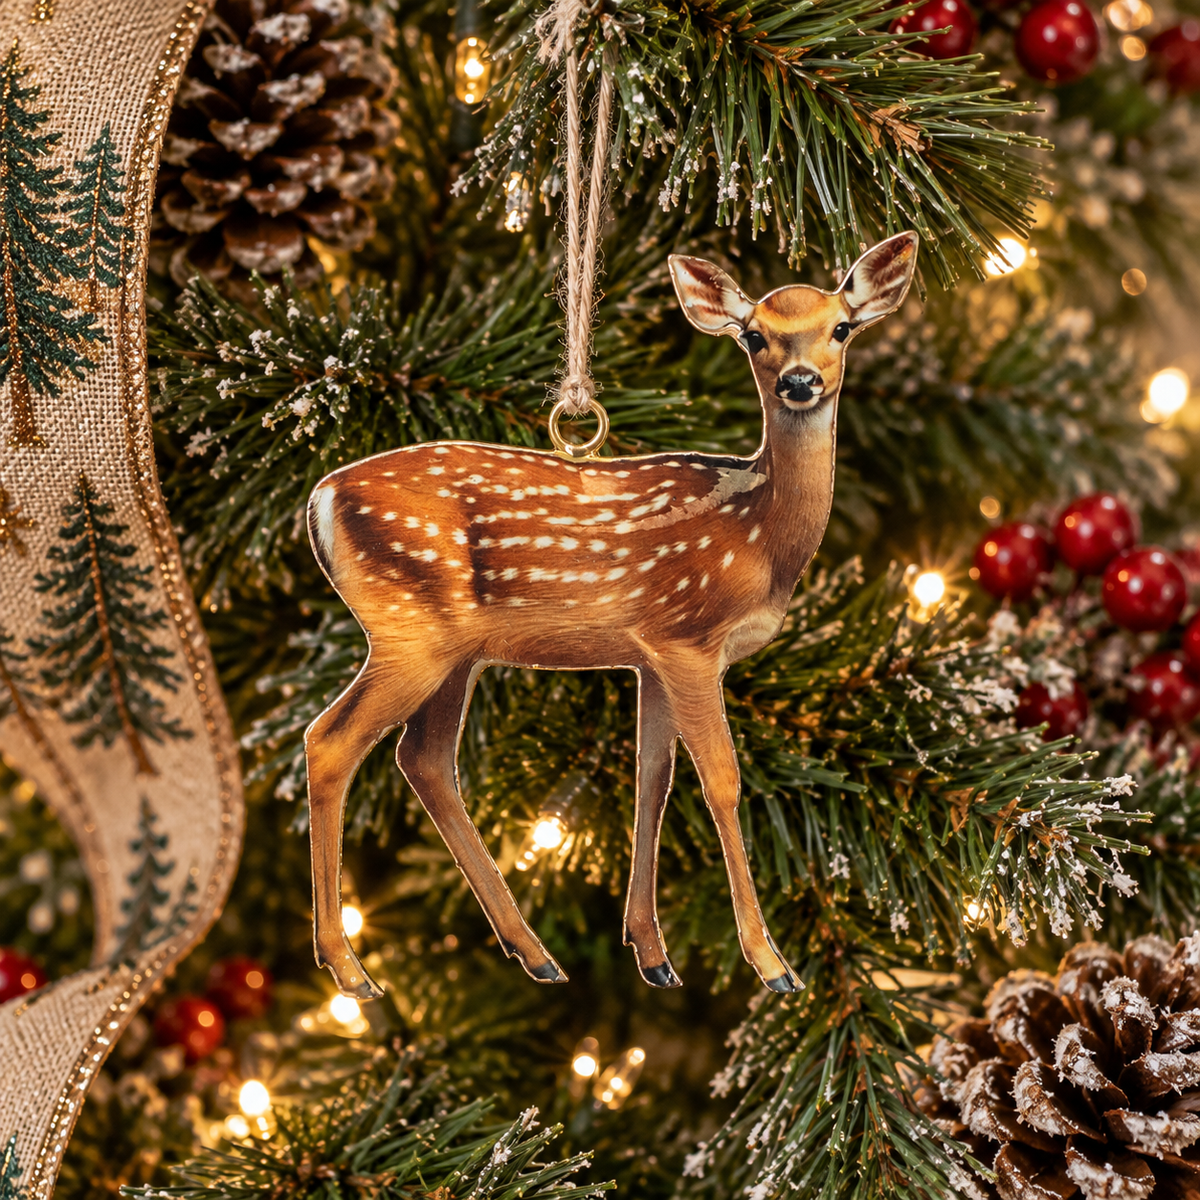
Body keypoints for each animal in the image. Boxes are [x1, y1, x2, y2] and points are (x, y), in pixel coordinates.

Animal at [304, 231, 919, 1000]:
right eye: (754, 336)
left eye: (841, 328)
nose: (801, 381)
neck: (761, 534)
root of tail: (319, 500)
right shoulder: (689, 636)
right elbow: (721, 781)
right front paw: (771, 963)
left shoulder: (651, 652)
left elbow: (652, 778)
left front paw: (653, 954)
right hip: (409, 629)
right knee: (329, 742)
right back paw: (349, 969)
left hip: (455, 650)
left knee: (424, 759)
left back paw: (532, 953)